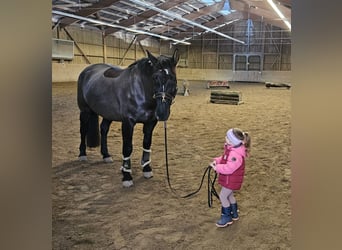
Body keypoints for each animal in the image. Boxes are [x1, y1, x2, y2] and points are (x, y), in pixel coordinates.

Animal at [77, 48, 179, 187]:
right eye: (155, 77)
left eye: (173, 78)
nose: (162, 113)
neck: (140, 90)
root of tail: (87, 70)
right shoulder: (128, 123)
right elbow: (127, 148)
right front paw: (126, 176)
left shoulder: (150, 123)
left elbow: (146, 144)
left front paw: (147, 169)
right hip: (85, 111)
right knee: (83, 131)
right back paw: (82, 154)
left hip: (108, 114)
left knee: (103, 130)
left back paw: (106, 155)